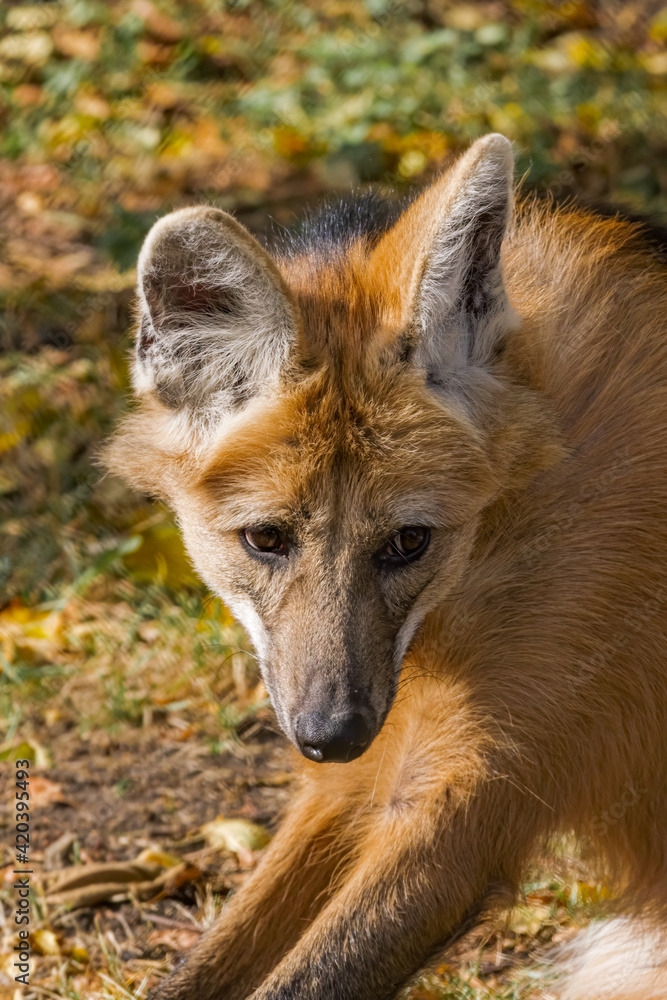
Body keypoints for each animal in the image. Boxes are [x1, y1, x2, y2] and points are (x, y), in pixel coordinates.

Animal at [105, 134, 667, 999]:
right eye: (265, 539)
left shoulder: (468, 801)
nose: (331, 735)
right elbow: (194, 973)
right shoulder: (357, 778)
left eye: (407, 542)